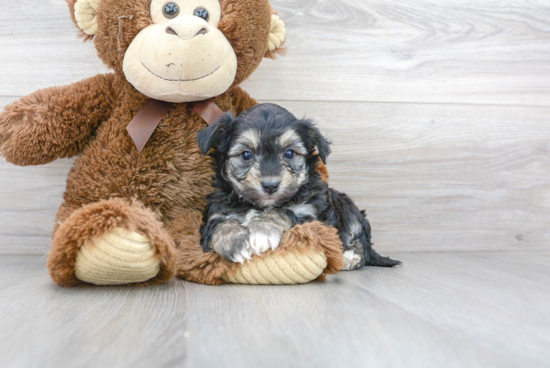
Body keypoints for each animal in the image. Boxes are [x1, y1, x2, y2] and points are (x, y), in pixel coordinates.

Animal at [197, 102, 402, 268]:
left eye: (289, 153)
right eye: (246, 155)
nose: (270, 185)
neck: (259, 205)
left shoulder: (310, 216)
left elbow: (283, 211)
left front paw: (262, 230)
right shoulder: (216, 213)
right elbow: (221, 225)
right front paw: (235, 243)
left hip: (348, 208)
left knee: (359, 244)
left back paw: (349, 258)